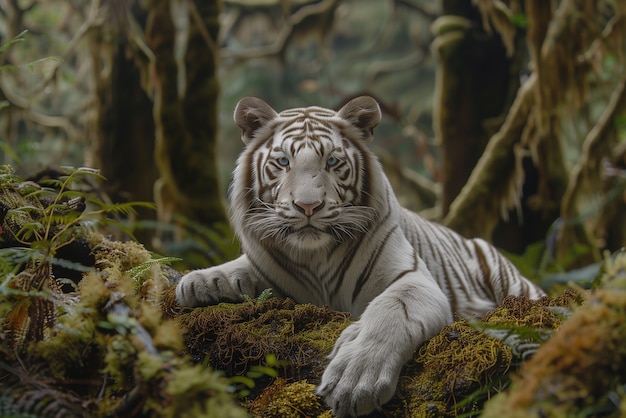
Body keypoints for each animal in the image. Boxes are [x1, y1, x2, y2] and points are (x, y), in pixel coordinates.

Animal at [176, 96, 540, 416]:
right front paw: (199, 282)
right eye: (283, 162)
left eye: (332, 162)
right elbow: (242, 269)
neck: (315, 257)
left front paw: (356, 380)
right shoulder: (274, 275)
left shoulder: (412, 279)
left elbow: (390, 311)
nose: (307, 206)